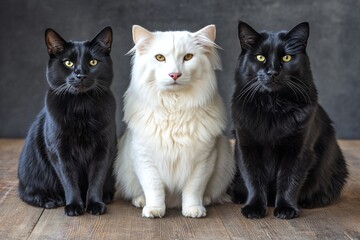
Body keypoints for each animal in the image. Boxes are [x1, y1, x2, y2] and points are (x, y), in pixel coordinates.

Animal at [17, 27, 116, 217]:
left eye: (93, 62)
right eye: (68, 63)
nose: (80, 74)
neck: (81, 107)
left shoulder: (104, 148)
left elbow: (97, 178)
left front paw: (95, 204)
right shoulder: (59, 151)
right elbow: (69, 179)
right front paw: (74, 205)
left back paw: (106, 196)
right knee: (27, 193)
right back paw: (51, 200)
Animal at [114, 25, 235, 218]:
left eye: (188, 57)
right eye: (160, 58)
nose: (175, 74)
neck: (174, 107)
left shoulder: (203, 161)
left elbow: (193, 190)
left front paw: (193, 210)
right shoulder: (145, 159)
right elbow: (154, 188)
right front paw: (154, 210)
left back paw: (205, 202)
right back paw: (141, 202)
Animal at [232, 21, 348, 218]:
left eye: (286, 58)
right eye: (260, 57)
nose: (272, 72)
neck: (272, 106)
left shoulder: (299, 149)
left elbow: (289, 179)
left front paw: (286, 208)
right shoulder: (246, 146)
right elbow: (253, 178)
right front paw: (254, 208)